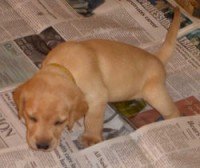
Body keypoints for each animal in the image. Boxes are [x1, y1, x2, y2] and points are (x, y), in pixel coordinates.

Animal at [13, 7, 180, 151]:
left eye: (59, 122)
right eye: (32, 118)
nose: (42, 146)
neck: (65, 65)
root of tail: (157, 59)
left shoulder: (97, 97)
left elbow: (92, 120)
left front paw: (91, 138)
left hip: (155, 94)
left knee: (174, 111)